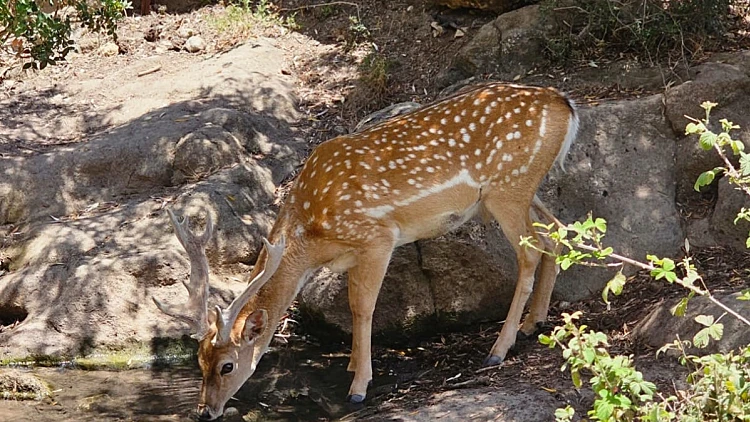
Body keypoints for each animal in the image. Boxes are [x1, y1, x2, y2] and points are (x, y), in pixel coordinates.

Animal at [156, 81, 580, 418]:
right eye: (199, 360)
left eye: (227, 366)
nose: (204, 412)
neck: (313, 237)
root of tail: (565, 104)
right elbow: (349, 305)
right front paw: (351, 368)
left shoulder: (377, 237)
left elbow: (362, 308)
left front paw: (358, 386)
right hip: (518, 191)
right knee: (557, 233)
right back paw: (533, 323)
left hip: (508, 186)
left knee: (530, 251)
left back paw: (499, 348)